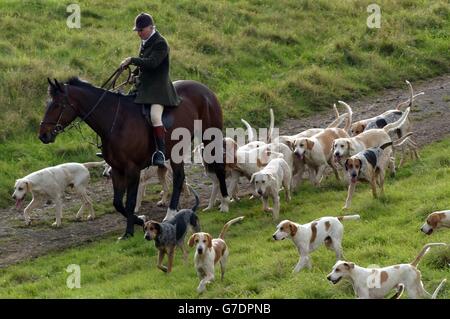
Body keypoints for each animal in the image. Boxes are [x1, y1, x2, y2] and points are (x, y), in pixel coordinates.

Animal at [40, 78, 230, 240]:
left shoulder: (132, 169)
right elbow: (118, 203)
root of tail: (205, 89)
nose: (43, 135)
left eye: (57, 105)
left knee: (214, 168)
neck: (115, 121)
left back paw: (224, 202)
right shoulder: (117, 170)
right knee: (179, 178)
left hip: (209, 136)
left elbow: (130, 202)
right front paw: (140, 220)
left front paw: (128, 232)